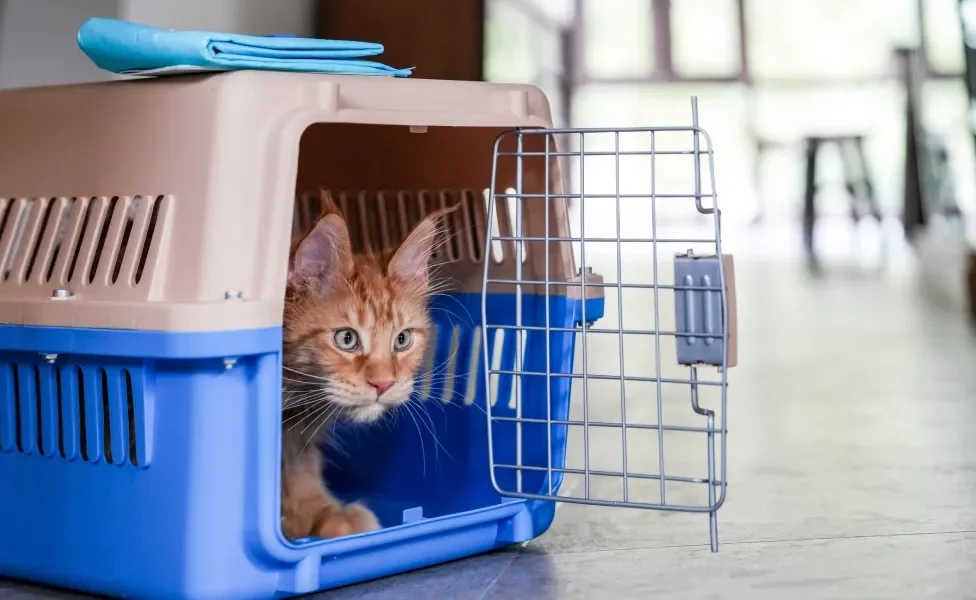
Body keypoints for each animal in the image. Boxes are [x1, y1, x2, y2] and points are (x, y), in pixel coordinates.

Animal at [278, 195, 454, 540]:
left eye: (402, 340)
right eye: (346, 339)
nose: (384, 384)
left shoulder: (297, 433)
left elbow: (299, 471)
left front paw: (317, 513)